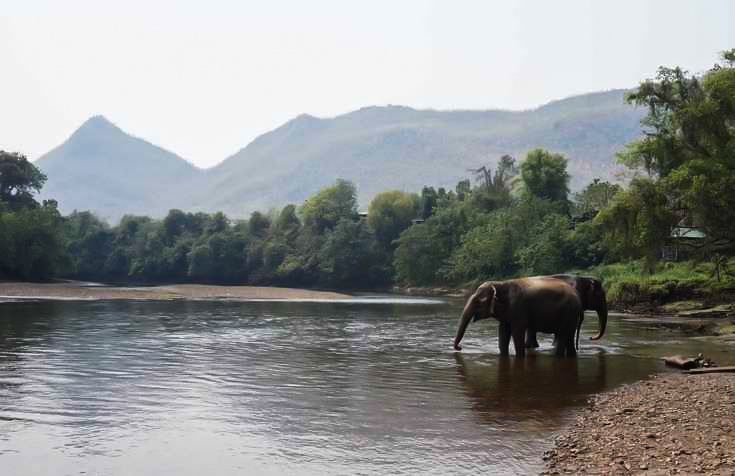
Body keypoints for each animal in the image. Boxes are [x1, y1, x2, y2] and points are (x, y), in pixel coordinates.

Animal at [453, 277, 582, 357]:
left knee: (562, 335)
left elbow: (517, 332)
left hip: (568, 313)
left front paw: (519, 357)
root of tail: (578, 297)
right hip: (571, 315)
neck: (500, 283)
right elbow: (503, 332)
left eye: (478, 302)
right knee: (569, 337)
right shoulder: (507, 312)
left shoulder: (518, 307)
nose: (460, 348)